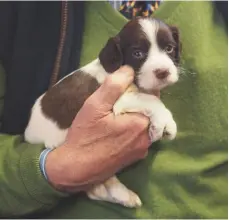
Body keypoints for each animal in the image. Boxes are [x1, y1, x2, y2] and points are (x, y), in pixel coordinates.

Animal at [24, 17, 182, 208]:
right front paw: (165, 122)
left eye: (169, 48)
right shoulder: (120, 101)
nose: (163, 72)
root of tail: (27, 134)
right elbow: (152, 100)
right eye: (137, 53)